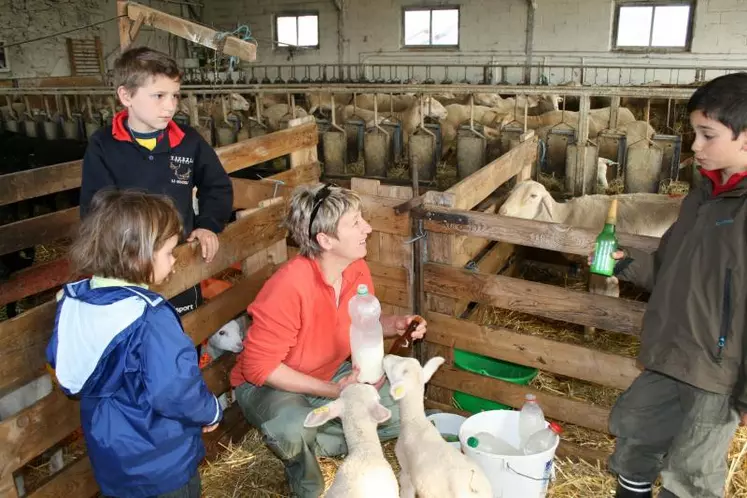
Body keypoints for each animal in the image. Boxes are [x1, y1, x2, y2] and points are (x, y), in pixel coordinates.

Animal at [382, 354, 494, 498]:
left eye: (400, 369)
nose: (387, 356)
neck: (414, 421)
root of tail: (475, 487)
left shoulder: (406, 469)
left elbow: (406, 491)